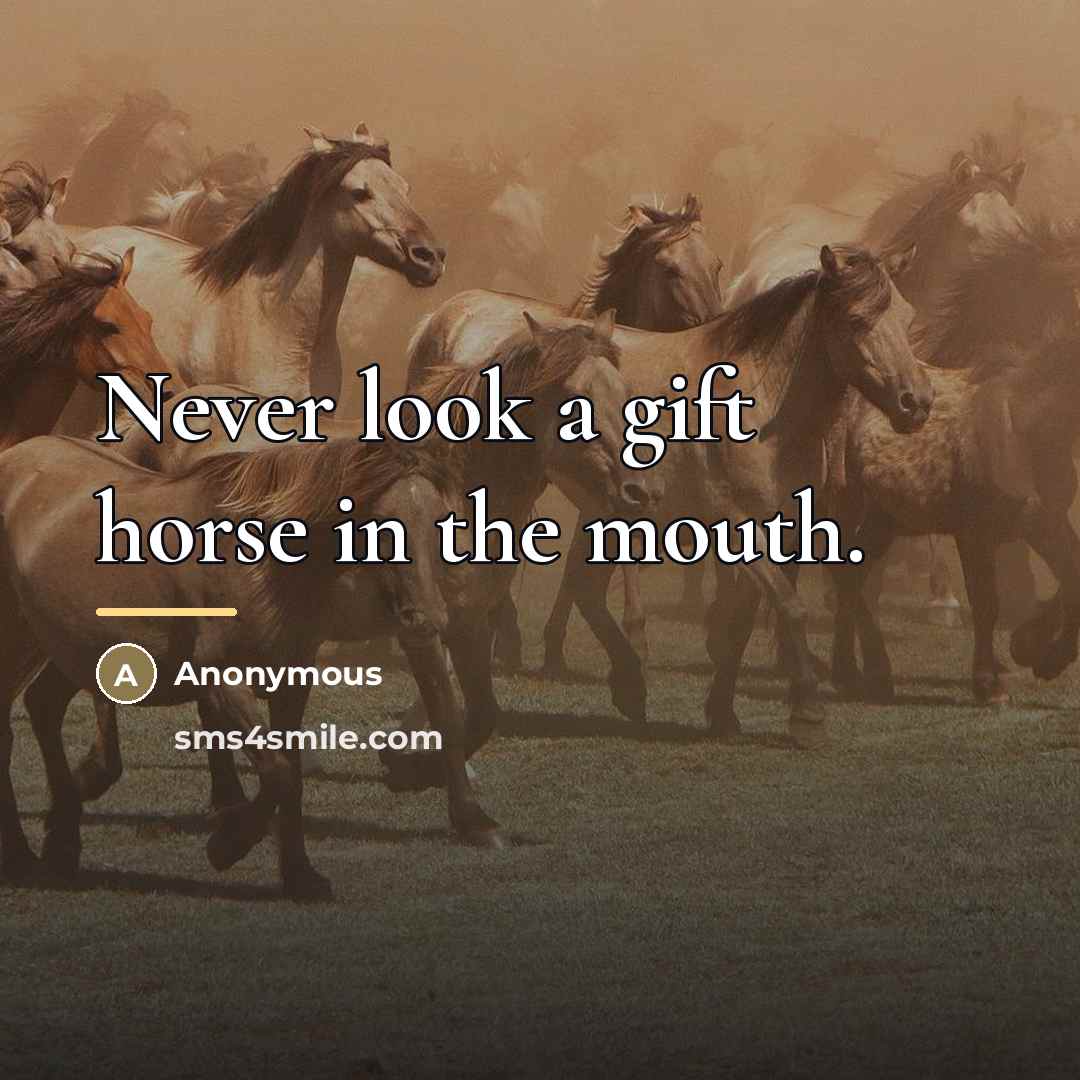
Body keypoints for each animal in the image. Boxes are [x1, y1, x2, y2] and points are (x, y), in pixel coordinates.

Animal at [409, 244, 933, 732]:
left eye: (907, 315)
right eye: (857, 319)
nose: (917, 402)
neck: (762, 401)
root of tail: (445, 316)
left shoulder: (780, 527)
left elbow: (744, 619)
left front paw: (722, 713)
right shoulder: (739, 524)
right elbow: (787, 605)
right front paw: (807, 714)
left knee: (581, 590)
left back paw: (627, 684)